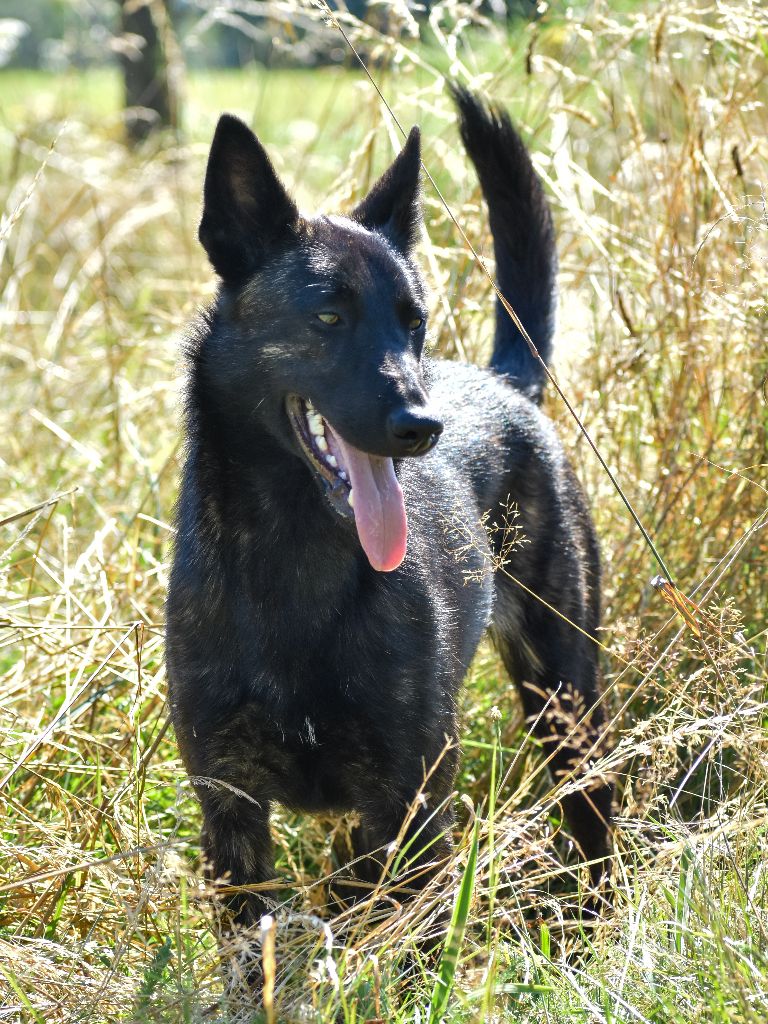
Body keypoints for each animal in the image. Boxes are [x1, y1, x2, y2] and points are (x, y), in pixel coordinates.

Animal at [166, 90, 614, 937]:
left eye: (414, 322)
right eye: (328, 318)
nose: (422, 425)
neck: (295, 559)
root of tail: (507, 383)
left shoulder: (411, 804)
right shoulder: (232, 813)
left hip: (565, 696)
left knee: (595, 818)